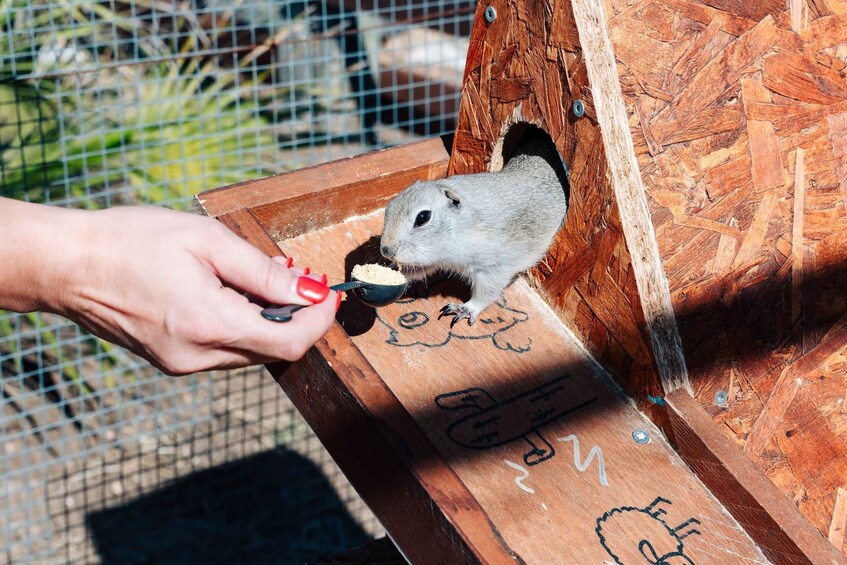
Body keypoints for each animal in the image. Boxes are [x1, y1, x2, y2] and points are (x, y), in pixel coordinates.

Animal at [380, 130, 568, 326]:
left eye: (423, 218)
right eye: (388, 206)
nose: (386, 251)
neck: (466, 225)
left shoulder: (494, 266)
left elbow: (486, 292)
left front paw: (464, 309)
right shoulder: (436, 259)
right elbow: (422, 269)